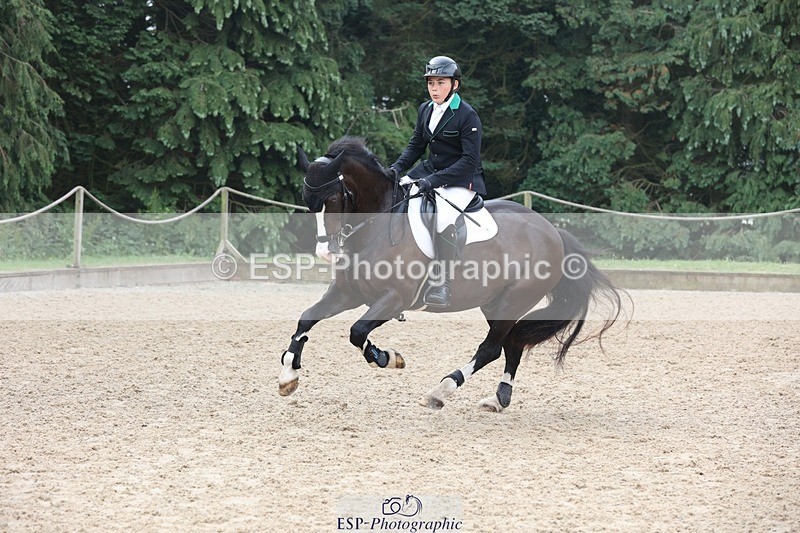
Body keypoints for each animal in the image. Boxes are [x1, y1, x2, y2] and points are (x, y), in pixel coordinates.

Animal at [278, 136, 622, 411]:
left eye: (334, 199)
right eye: (307, 201)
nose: (325, 252)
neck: (376, 225)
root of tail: (551, 230)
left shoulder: (394, 298)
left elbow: (357, 332)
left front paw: (387, 357)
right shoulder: (348, 293)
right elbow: (306, 319)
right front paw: (288, 374)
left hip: (514, 300)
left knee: (491, 348)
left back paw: (442, 390)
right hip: (495, 303)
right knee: (511, 344)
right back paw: (499, 398)